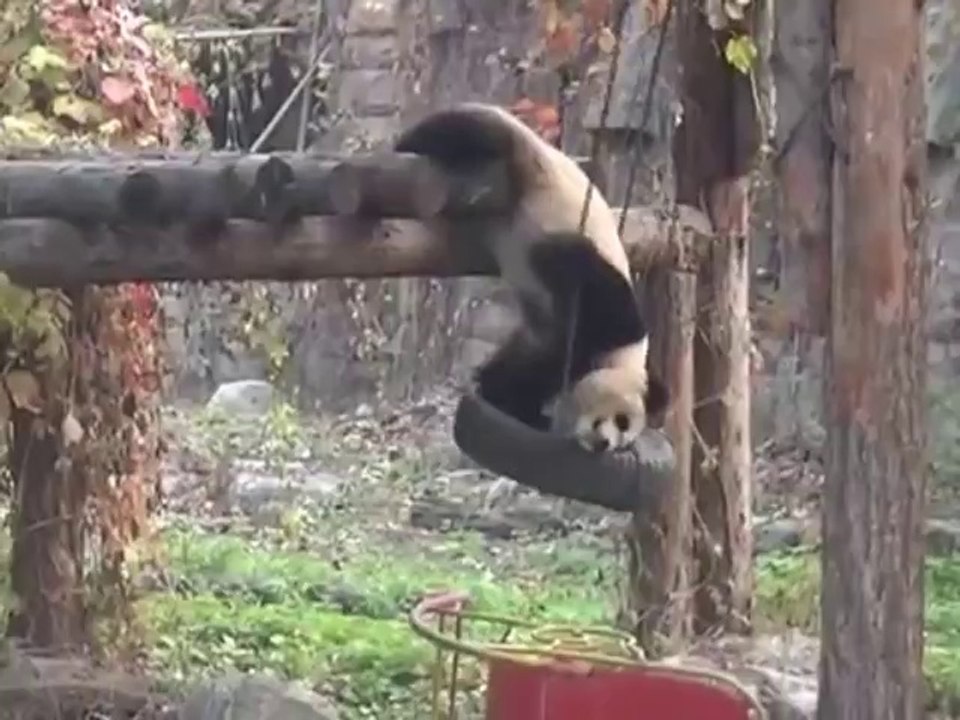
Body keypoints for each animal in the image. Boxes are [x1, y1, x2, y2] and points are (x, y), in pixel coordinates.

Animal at [394, 102, 669, 452]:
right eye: (620, 420)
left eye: (625, 436)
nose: (604, 444)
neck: (621, 358)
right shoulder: (602, 305)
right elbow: (563, 345)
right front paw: (508, 393)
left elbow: (529, 350)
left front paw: (501, 389)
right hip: (524, 159)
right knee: (469, 128)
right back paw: (407, 144)